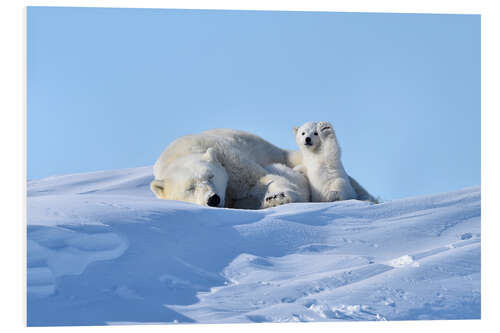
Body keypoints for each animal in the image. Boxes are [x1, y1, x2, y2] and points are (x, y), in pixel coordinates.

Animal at [150, 128, 306, 209]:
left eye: (211, 175)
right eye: (190, 188)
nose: (213, 199)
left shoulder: (229, 160)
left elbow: (259, 179)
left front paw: (278, 197)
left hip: (274, 151)